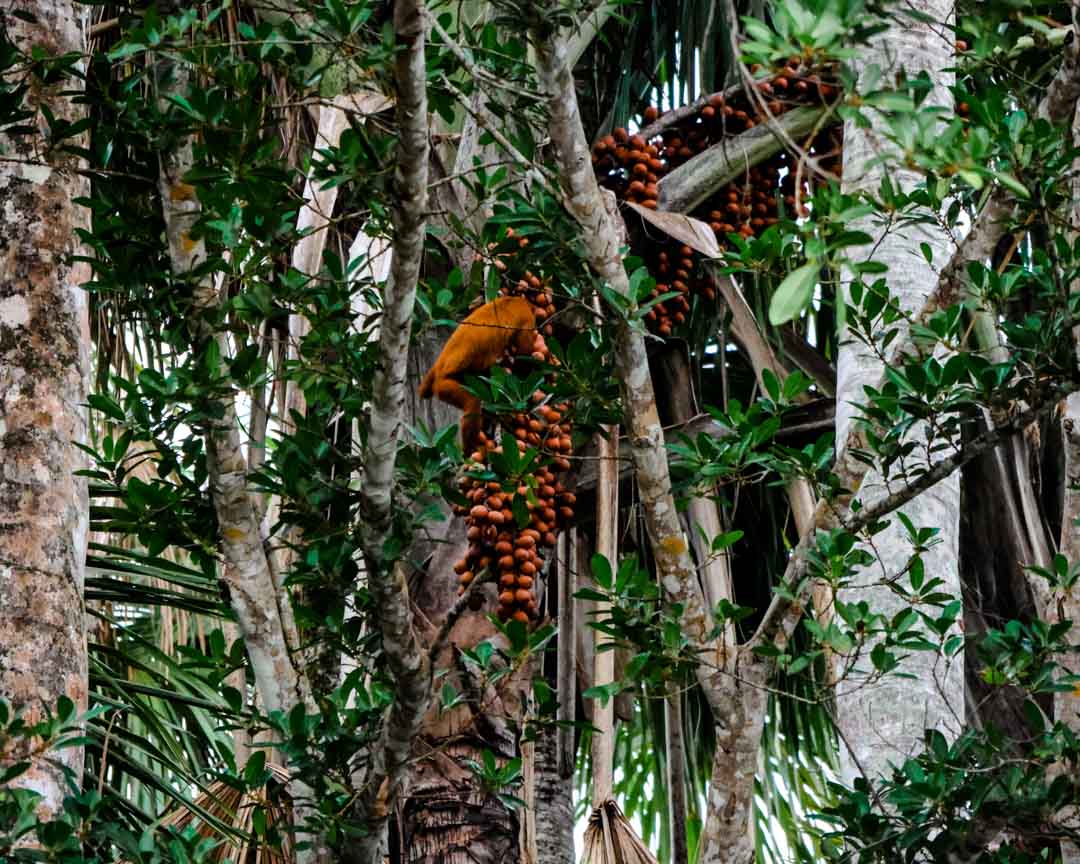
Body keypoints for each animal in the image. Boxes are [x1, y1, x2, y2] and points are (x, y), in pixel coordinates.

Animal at [418, 296, 540, 455]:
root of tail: (439, 367)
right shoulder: (527, 318)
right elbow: (523, 359)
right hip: (443, 385)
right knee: (472, 404)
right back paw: (470, 451)